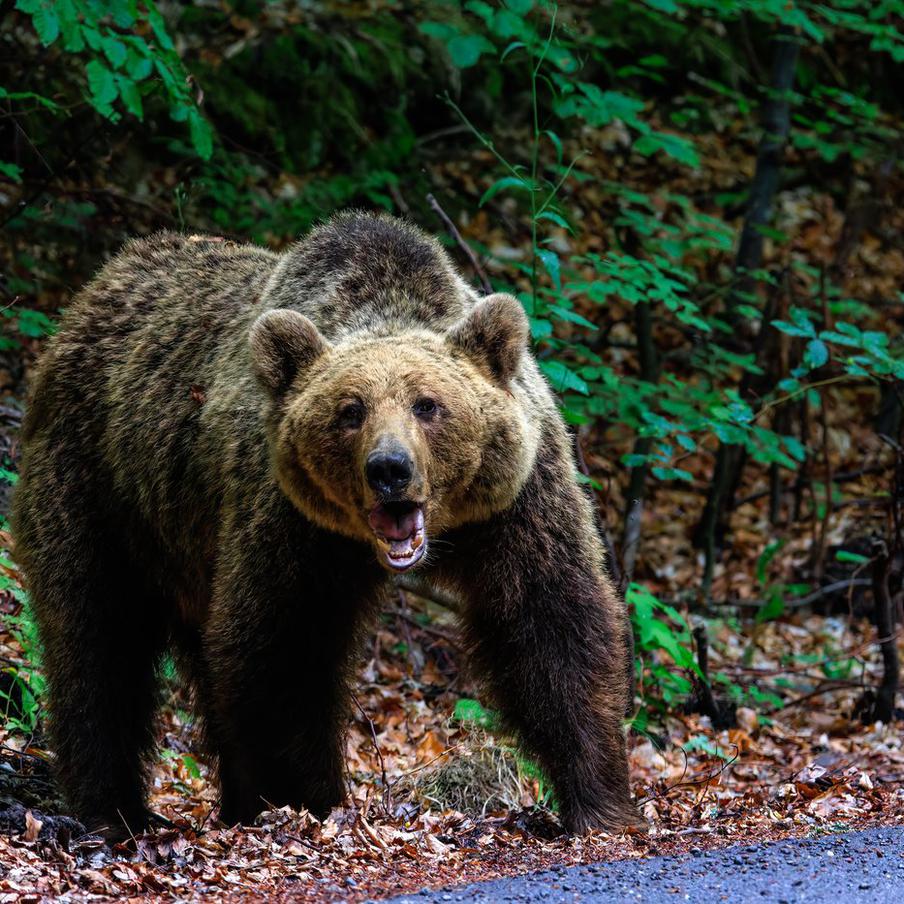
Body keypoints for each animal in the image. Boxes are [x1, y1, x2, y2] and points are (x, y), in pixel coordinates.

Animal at [12, 211, 638, 838]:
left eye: (428, 404)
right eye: (350, 410)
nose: (389, 469)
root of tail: (93, 292)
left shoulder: (515, 503)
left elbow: (552, 621)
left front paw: (597, 800)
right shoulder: (291, 521)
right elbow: (284, 647)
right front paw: (308, 799)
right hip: (99, 490)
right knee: (97, 640)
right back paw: (115, 809)